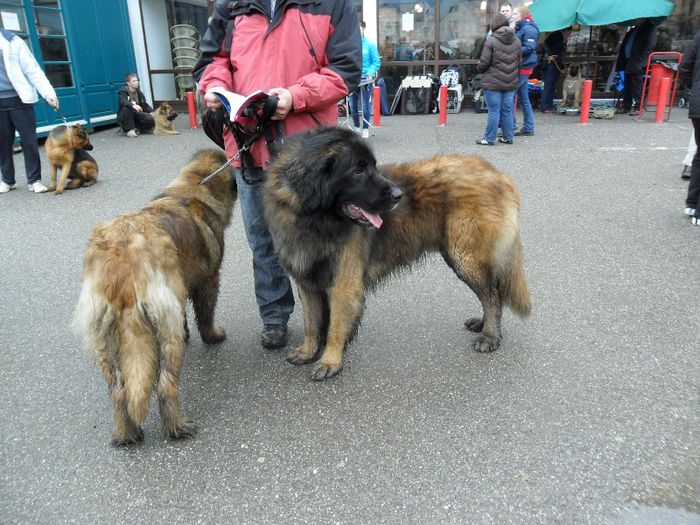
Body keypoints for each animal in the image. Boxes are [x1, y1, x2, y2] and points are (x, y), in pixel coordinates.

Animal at [71, 148, 237, 446]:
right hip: (165, 331)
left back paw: (126, 433)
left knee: (119, 390)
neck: (193, 187)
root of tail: (121, 262)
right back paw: (177, 426)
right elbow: (205, 314)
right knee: (165, 385)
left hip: (103, 334)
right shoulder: (208, 281)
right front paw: (213, 335)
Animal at [262, 127, 532, 380]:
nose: (398, 195)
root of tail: (498, 174)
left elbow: (335, 327)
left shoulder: (344, 284)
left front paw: (330, 361)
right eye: (357, 170)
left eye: (372, 166)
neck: (314, 220)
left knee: (492, 295)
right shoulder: (307, 282)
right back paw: (483, 324)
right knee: (491, 292)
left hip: (464, 257)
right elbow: (312, 323)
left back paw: (490, 335)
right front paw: (307, 351)